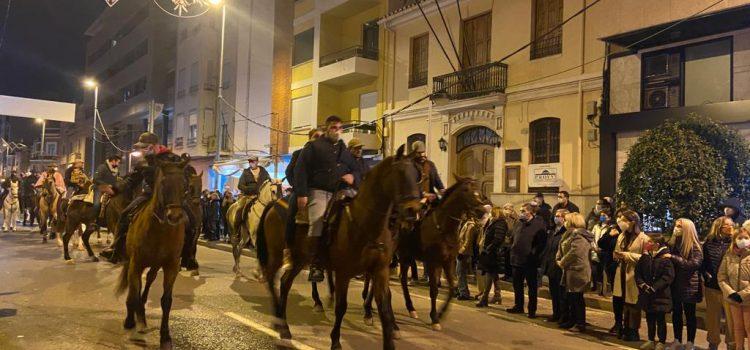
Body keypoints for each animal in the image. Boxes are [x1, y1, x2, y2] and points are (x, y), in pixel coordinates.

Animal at [115, 156, 191, 350]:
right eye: (163, 183)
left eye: (185, 184)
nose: (174, 216)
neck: (160, 230)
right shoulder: (135, 263)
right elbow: (133, 292)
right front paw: (135, 321)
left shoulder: (171, 266)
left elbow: (166, 300)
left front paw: (165, 336)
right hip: (132, 262)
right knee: (134, 289)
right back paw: (133, 317)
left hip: (156, 266)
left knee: (148, 281)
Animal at [256, 145, 424, 350]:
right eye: (400, 173)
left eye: (417, 175)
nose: (414, 211)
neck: (362, 222)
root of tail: (274, 204)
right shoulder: (344, 272)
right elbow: (341, 307)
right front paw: (335, 341)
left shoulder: (380, 271)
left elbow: (384, 307)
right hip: (276, 254)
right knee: (272, 279)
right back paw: (280, 323)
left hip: (299, 257)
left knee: (285, 282)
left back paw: (284, 324)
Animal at [364, 178, 488, 330]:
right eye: (466, 190)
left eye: (479, 190)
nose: (482, 210)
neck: (443, 227)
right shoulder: (432, 262)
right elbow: (433, 290)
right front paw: (434, 318)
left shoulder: (448, 262)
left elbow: (452, 288)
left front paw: (440, 314)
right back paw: (368, 312)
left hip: (404, 256)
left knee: (401, 279)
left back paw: (410, 308)